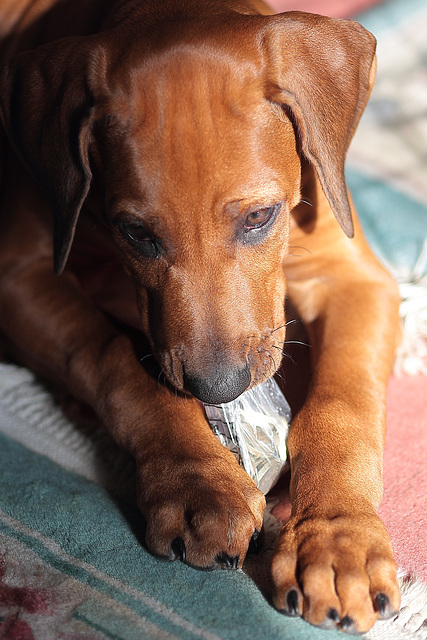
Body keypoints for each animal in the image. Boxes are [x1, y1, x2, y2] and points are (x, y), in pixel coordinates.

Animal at [0, 0, 402, 632]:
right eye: (137, 234)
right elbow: (114, 356)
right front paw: (198, 484)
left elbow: (344, 404)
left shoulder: (354, 277)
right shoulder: (17, 275)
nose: (218, 389)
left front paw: (338, 539)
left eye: (260, 217)